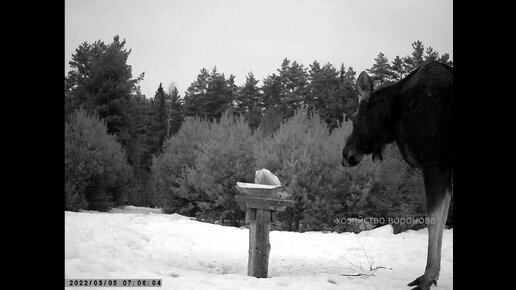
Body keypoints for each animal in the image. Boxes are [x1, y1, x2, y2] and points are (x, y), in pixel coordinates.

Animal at [342, 60, 452, 288]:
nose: (346, 155)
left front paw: (428, 277)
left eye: (355, 118)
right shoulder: (446, 169)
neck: (393, 121)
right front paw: (433, 274)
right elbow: (443, 216)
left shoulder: (434, 161)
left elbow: (434, 218)